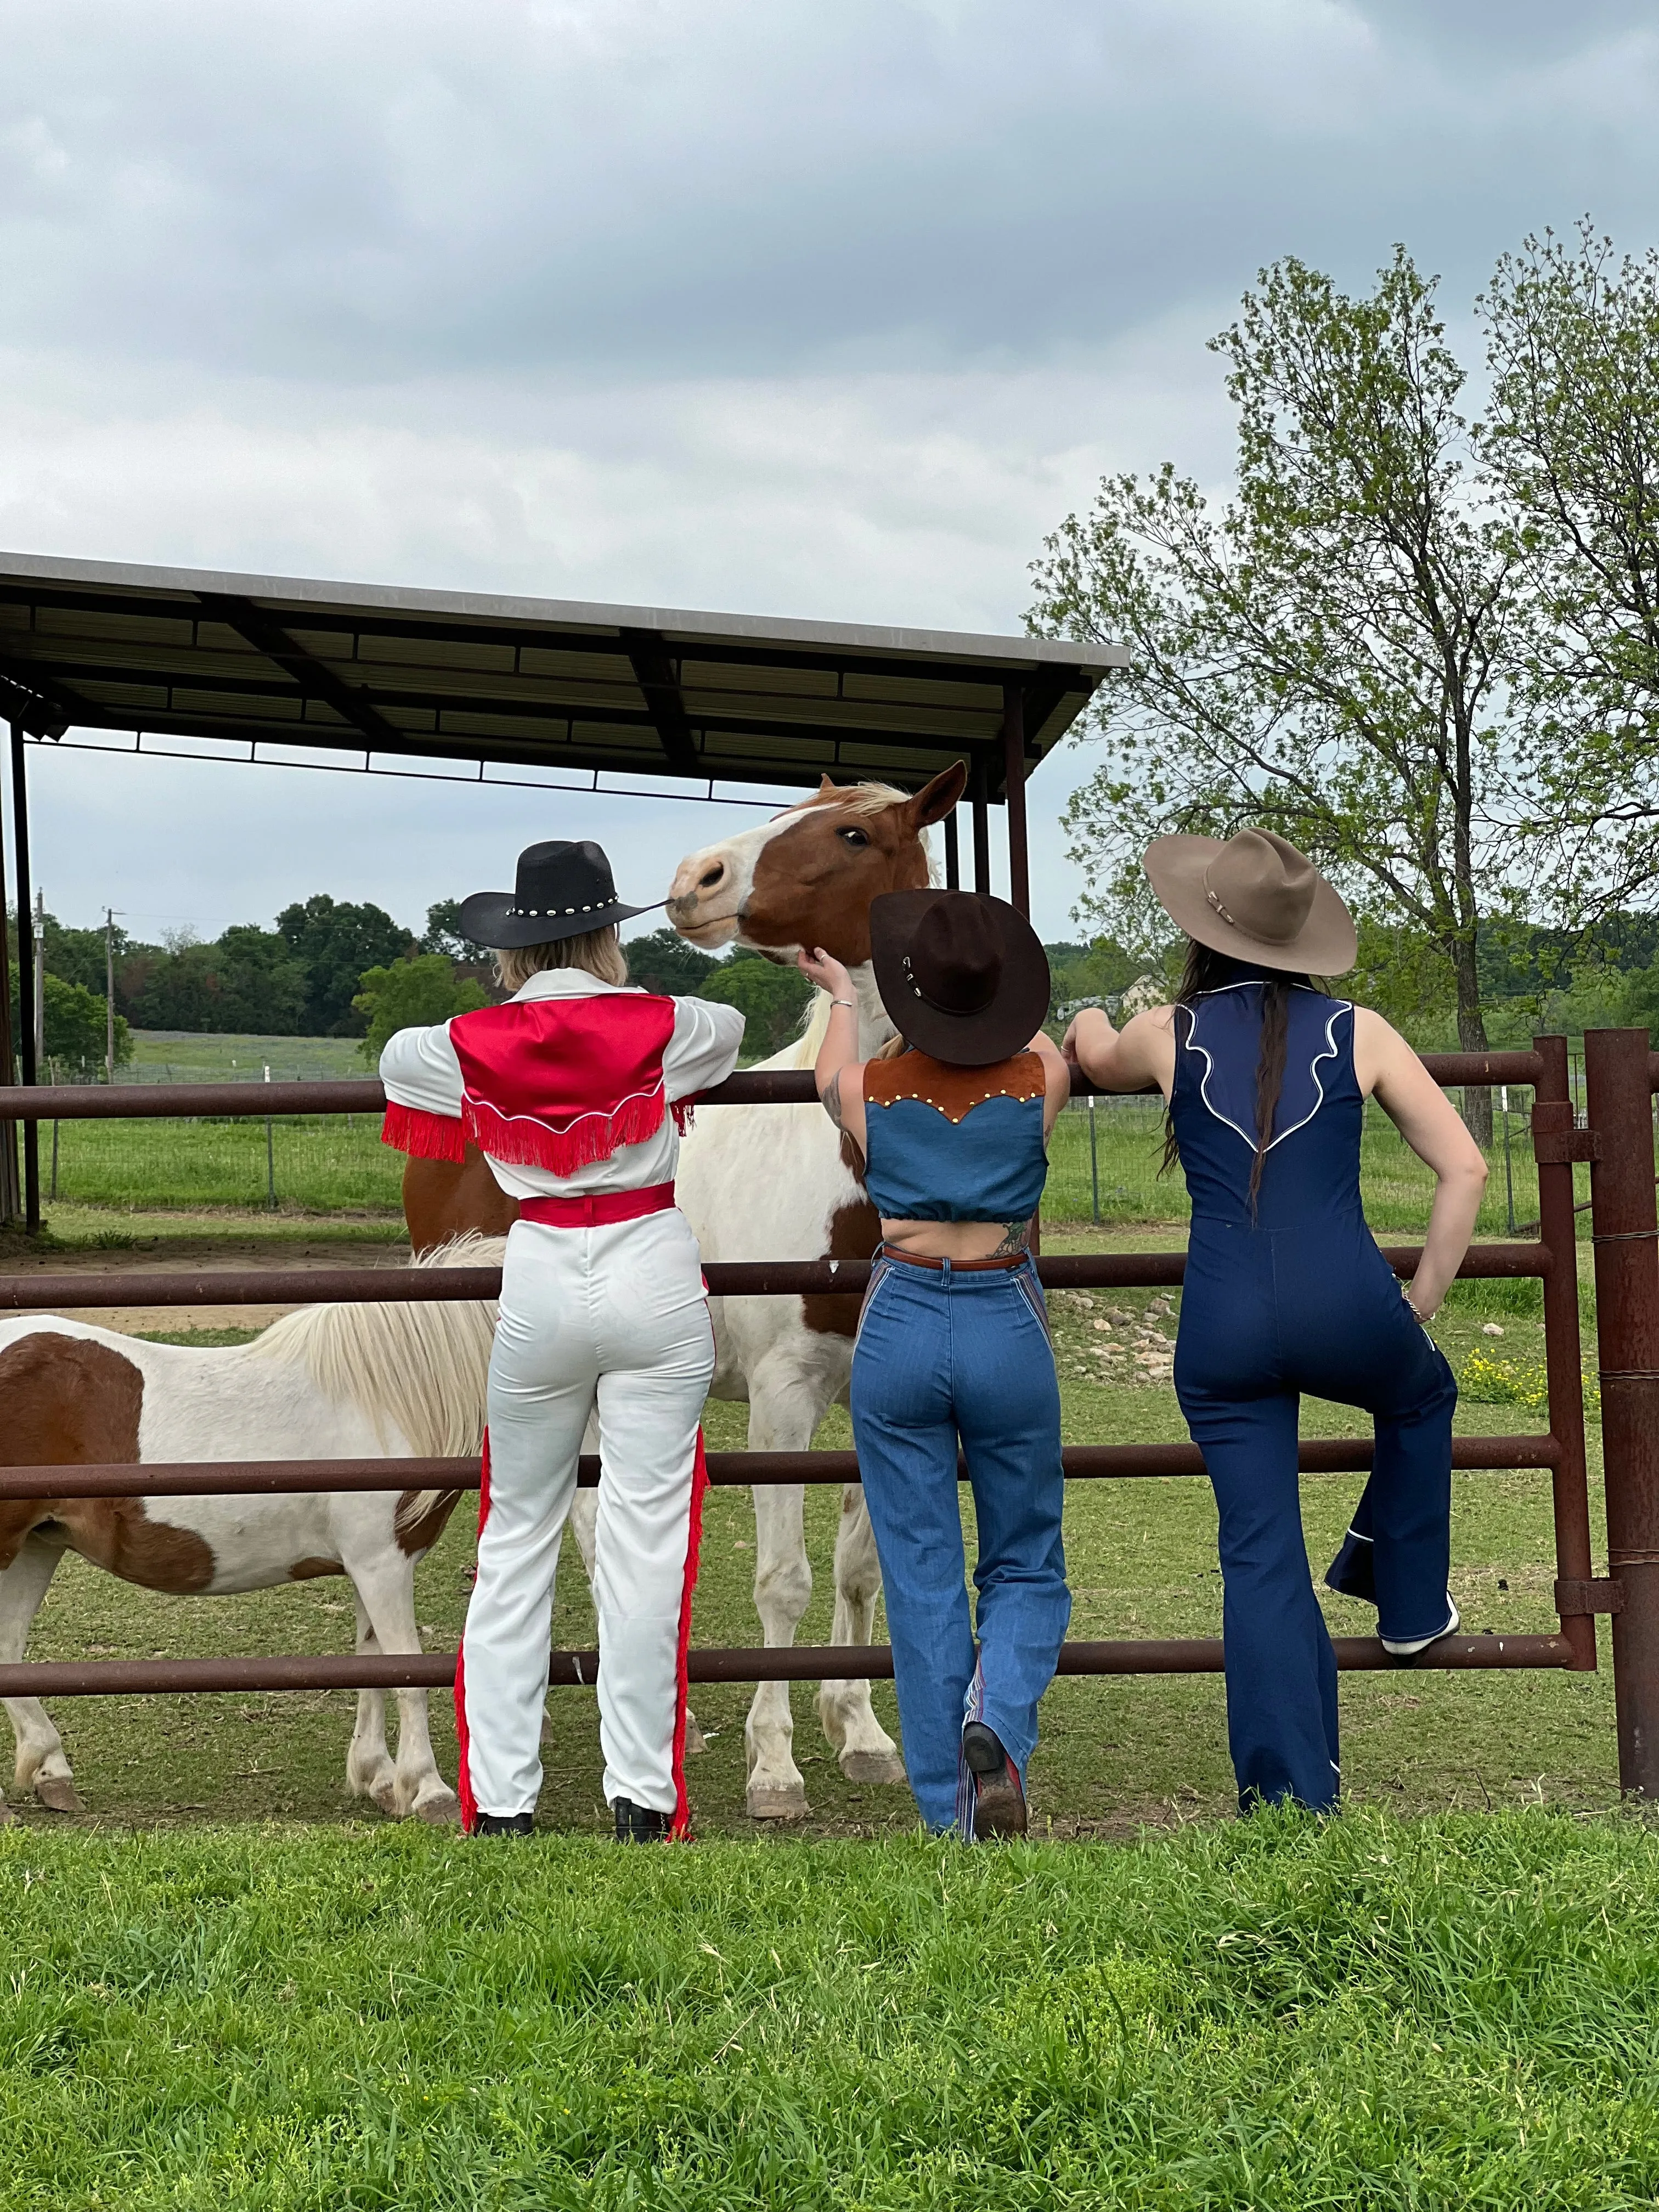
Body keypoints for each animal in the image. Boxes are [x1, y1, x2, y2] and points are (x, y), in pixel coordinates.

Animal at [0, 1238, 506, 1822]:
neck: (387, 1398)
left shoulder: (369, 1567)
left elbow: (373, 1664)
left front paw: (378, 1778)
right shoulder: (384, 1562)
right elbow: (409, 1672)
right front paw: (429, 1790)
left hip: (37, 1547)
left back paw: (52, 1772)